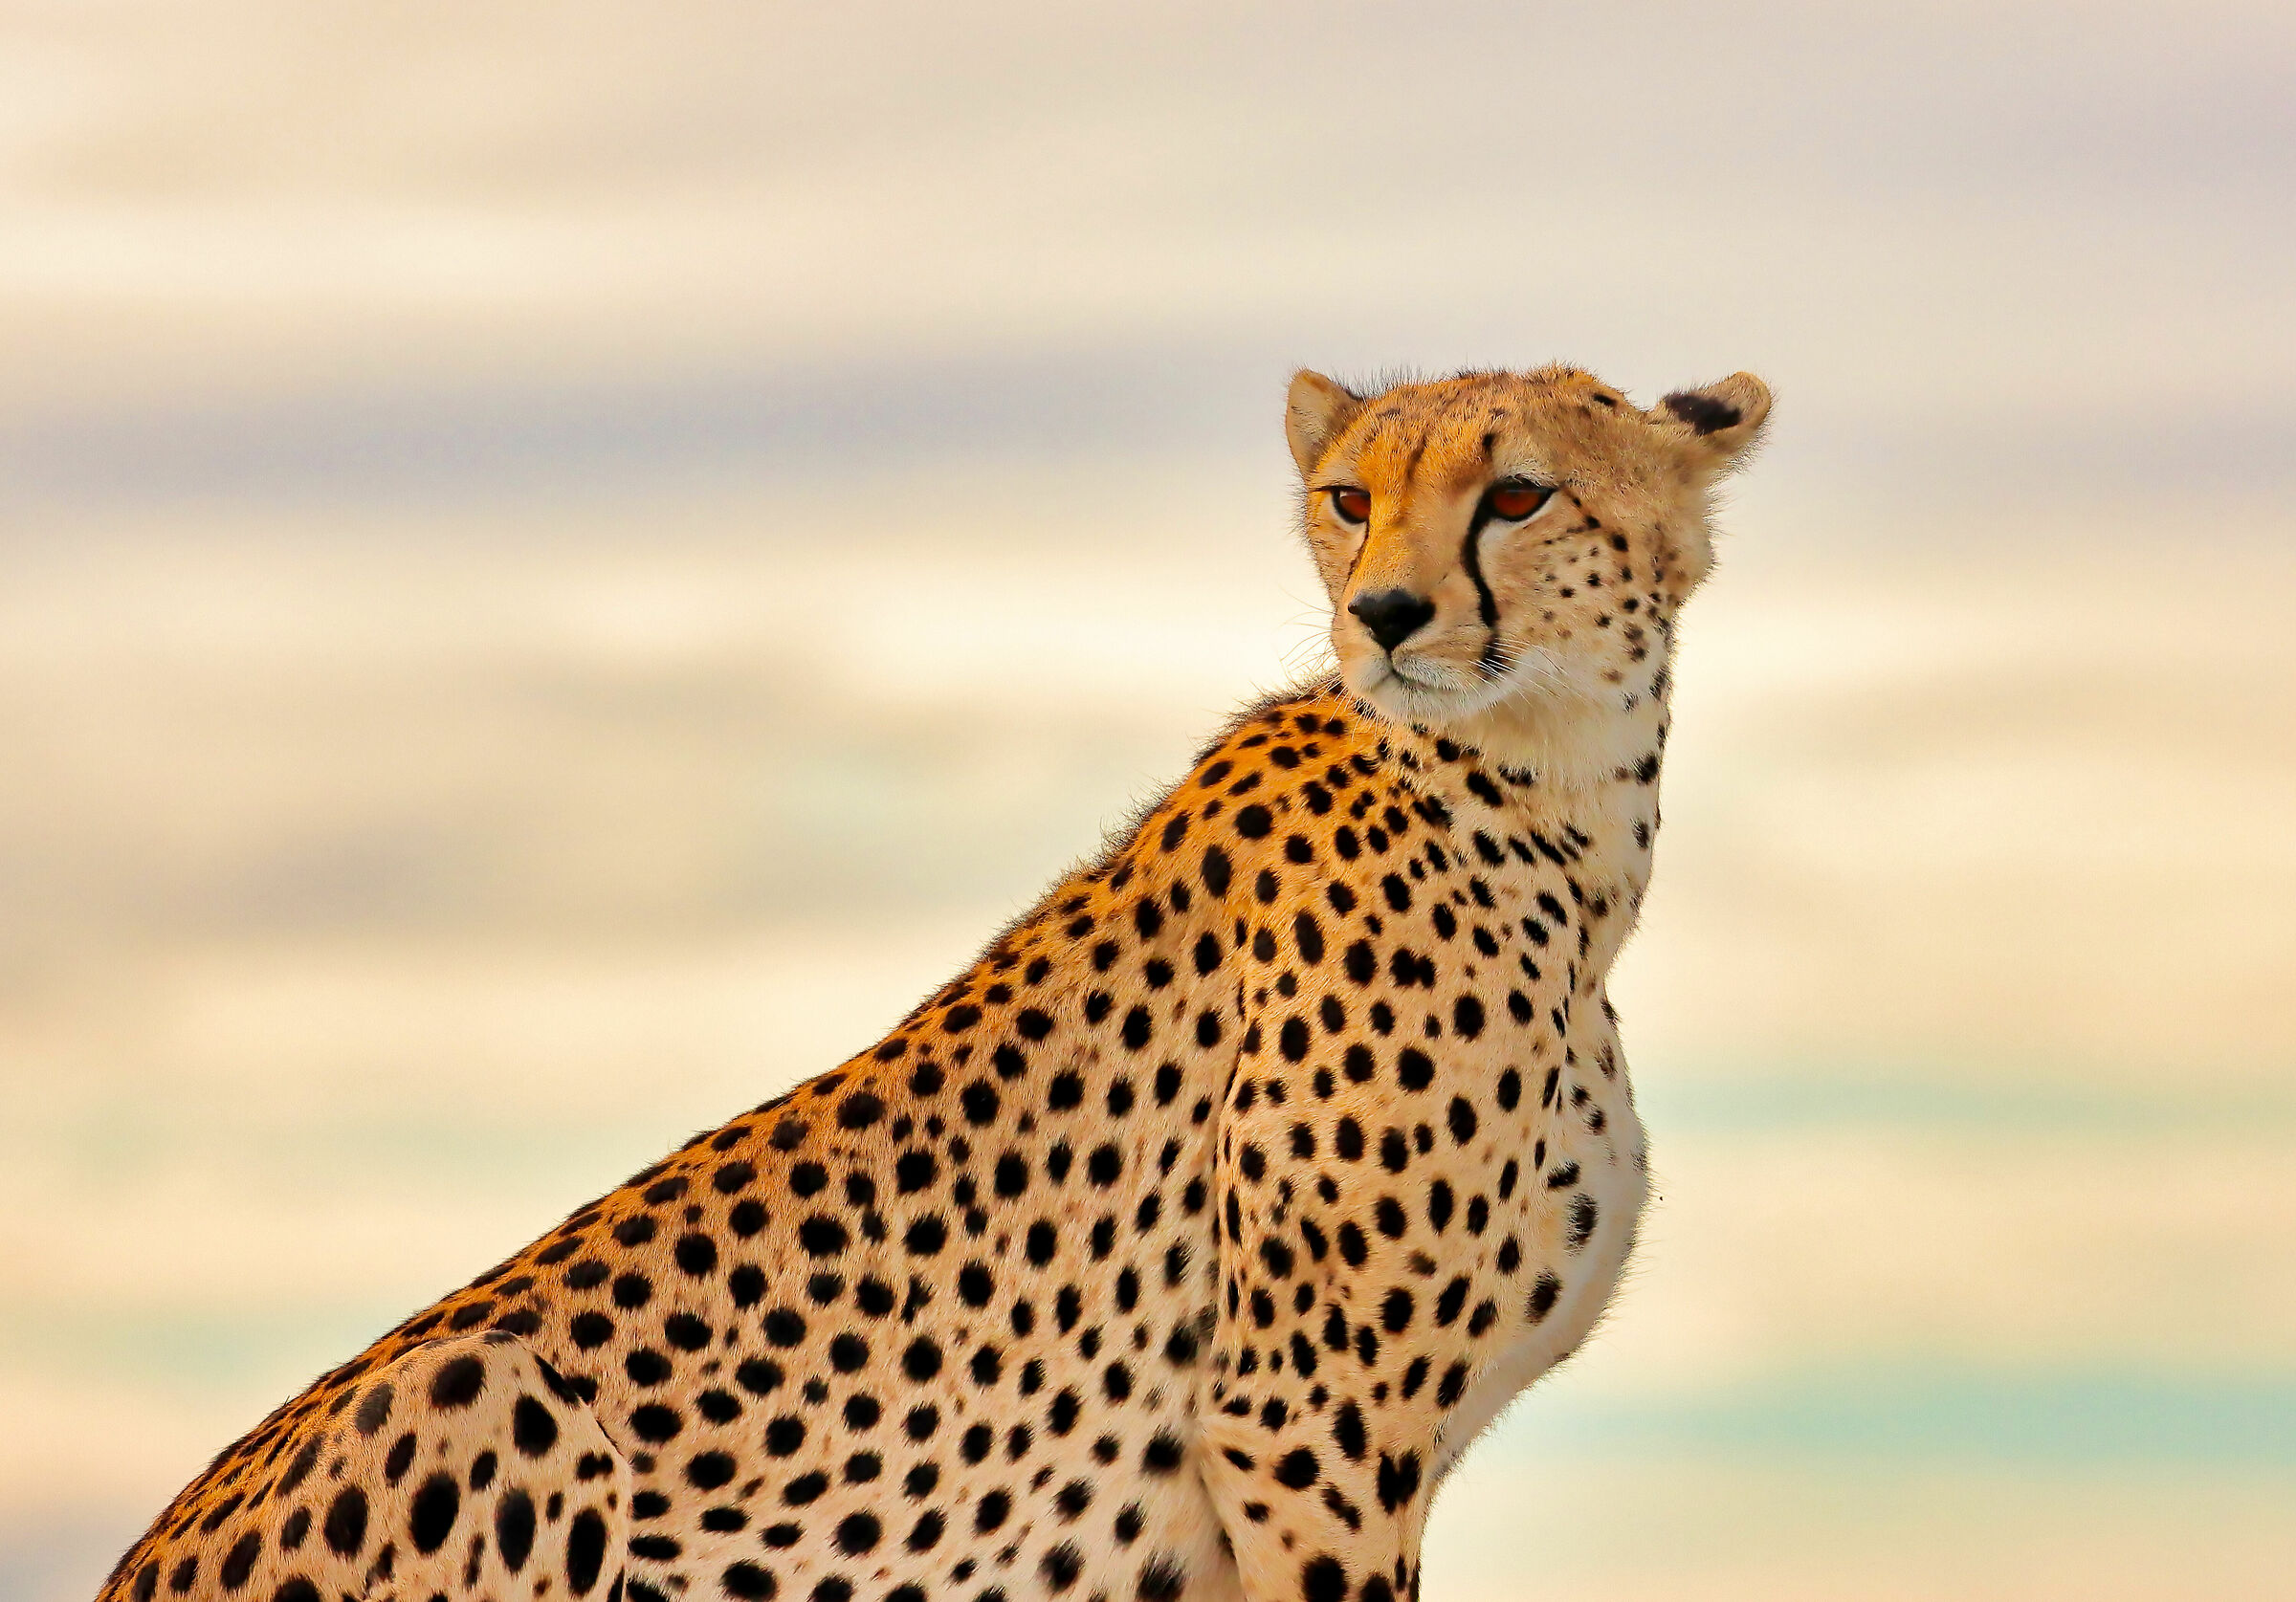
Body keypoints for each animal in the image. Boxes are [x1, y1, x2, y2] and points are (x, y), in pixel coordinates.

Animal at [97, 361, 1771, 1602]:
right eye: (1349, 499)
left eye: (1517, 493)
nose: (1385, 614)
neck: (1553, 814)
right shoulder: (1302, 1419)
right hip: (481, 1379)